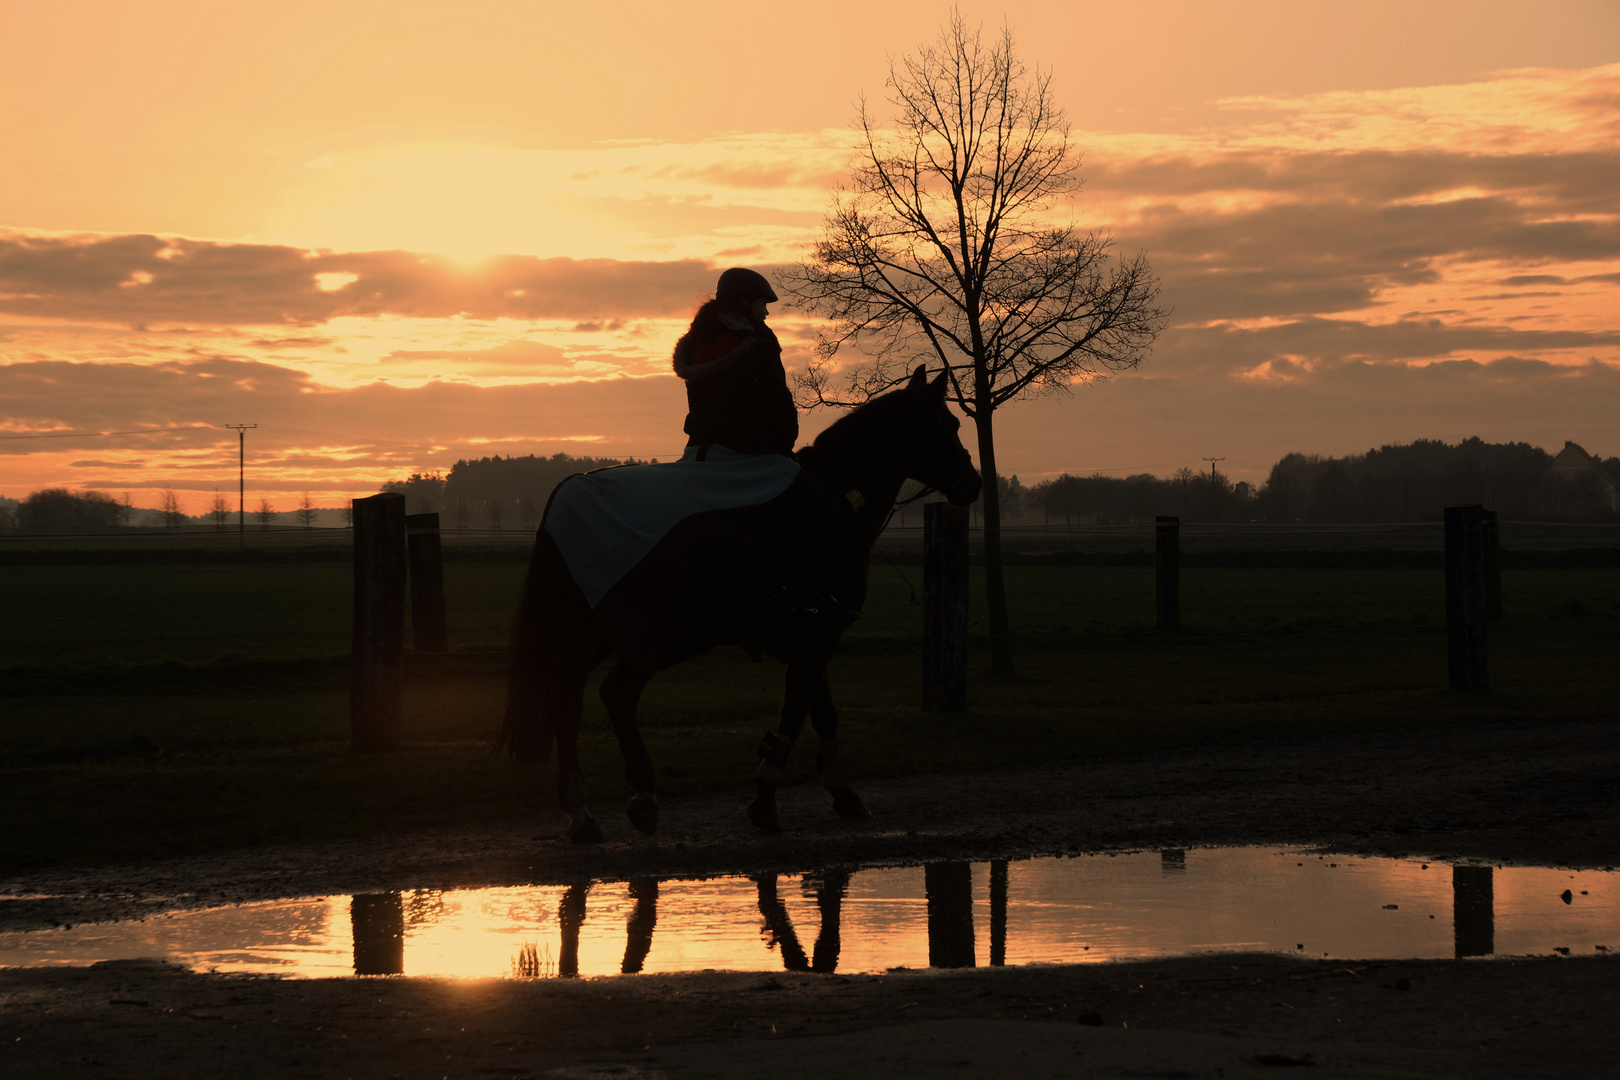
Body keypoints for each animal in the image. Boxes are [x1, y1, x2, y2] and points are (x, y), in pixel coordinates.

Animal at [495, 367, 972, 841]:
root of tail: (566, 496)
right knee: (613, 695)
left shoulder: (812, 639)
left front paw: (841, 791)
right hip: (659, 635)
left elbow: (822, 713)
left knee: (570, 698)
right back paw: (633, 796)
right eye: (949, 424)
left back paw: (584, 809)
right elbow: (795, 712)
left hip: (593, 636)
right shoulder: (816, 633)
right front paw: (767, 796)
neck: (840, 500)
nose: (974, 482)